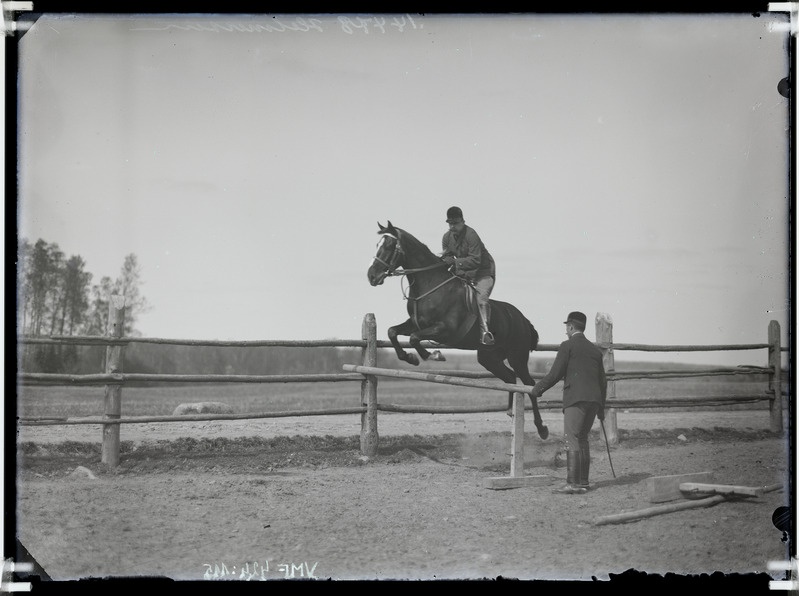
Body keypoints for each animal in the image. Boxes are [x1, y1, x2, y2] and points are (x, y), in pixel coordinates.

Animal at [366, 221, 548, 440]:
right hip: (489, 357)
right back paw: (510, 411)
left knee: (529, 384)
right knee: (511, 378)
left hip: (517, 355)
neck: (430, 283)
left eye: (388, 246)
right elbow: (393, 332)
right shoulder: (415, 323)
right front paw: (410, 358)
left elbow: (414, 338)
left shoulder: (445, 330)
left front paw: (433, 355)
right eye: (377, 244)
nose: (371, 276)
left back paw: (541, 428)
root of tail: (523, 319)